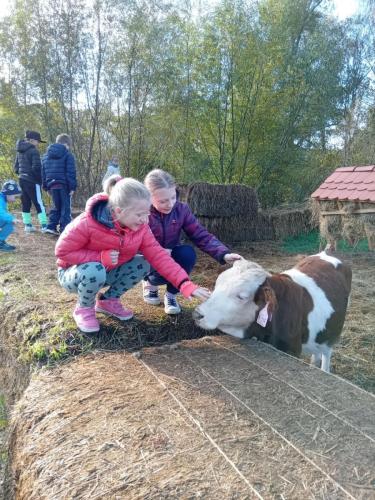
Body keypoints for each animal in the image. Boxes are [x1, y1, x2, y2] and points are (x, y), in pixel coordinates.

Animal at [194, 252, 352, 370]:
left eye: (241, 296)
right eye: (216, 284)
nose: (197, 313)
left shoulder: (292, 350)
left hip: (332, 333)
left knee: (326, 354)